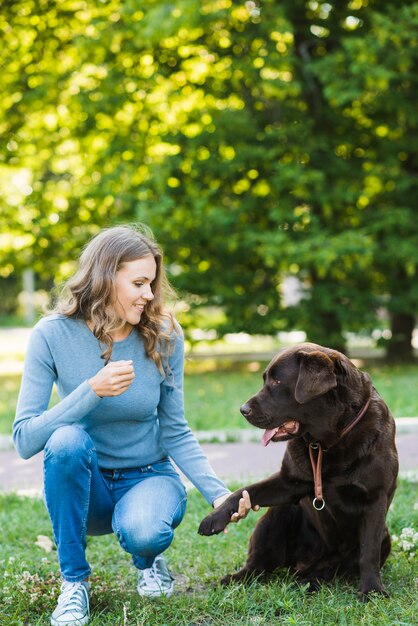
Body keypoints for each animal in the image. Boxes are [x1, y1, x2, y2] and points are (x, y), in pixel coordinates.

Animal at [199, 344, 398, 596]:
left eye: (277, 381)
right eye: (265, 379)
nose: (243, 409)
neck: (329, 442)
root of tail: (305, 565)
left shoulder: (374, 499)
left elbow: (368, 551)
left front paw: (372, 590)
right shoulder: (288, 483)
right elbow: (243, 492)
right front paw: (214, 518)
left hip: (384, 538)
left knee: (337, 568)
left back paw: (311, 581)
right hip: (279, 514)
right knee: (259, 565)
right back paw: (237, 578)